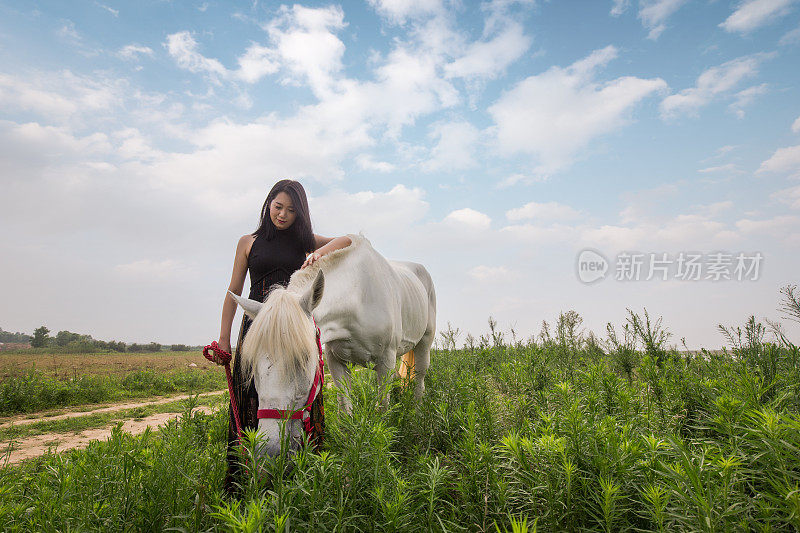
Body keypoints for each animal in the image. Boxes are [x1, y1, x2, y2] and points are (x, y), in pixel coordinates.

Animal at [228, 233, 440, 444]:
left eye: (305, 358)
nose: (268, 447)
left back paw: (417, 420)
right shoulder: (336, 361)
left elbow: (382, 408)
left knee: (419, 381)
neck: (358, 295)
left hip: (424, 343)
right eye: (252, 362)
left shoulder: (386, 361)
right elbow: (345, 407)